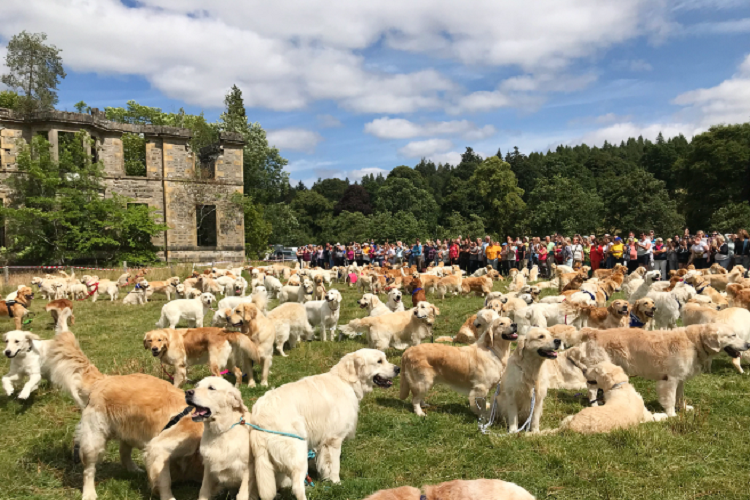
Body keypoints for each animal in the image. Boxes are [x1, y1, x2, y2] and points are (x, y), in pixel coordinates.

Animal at [251, 348, 402, 500]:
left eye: (385, 359)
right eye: (379, 361)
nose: (398, 369)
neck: (346, 381)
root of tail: (259, 417)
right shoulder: (333, 440)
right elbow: (334, 466)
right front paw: (336, 483)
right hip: (298, 450)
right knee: (296, 487)